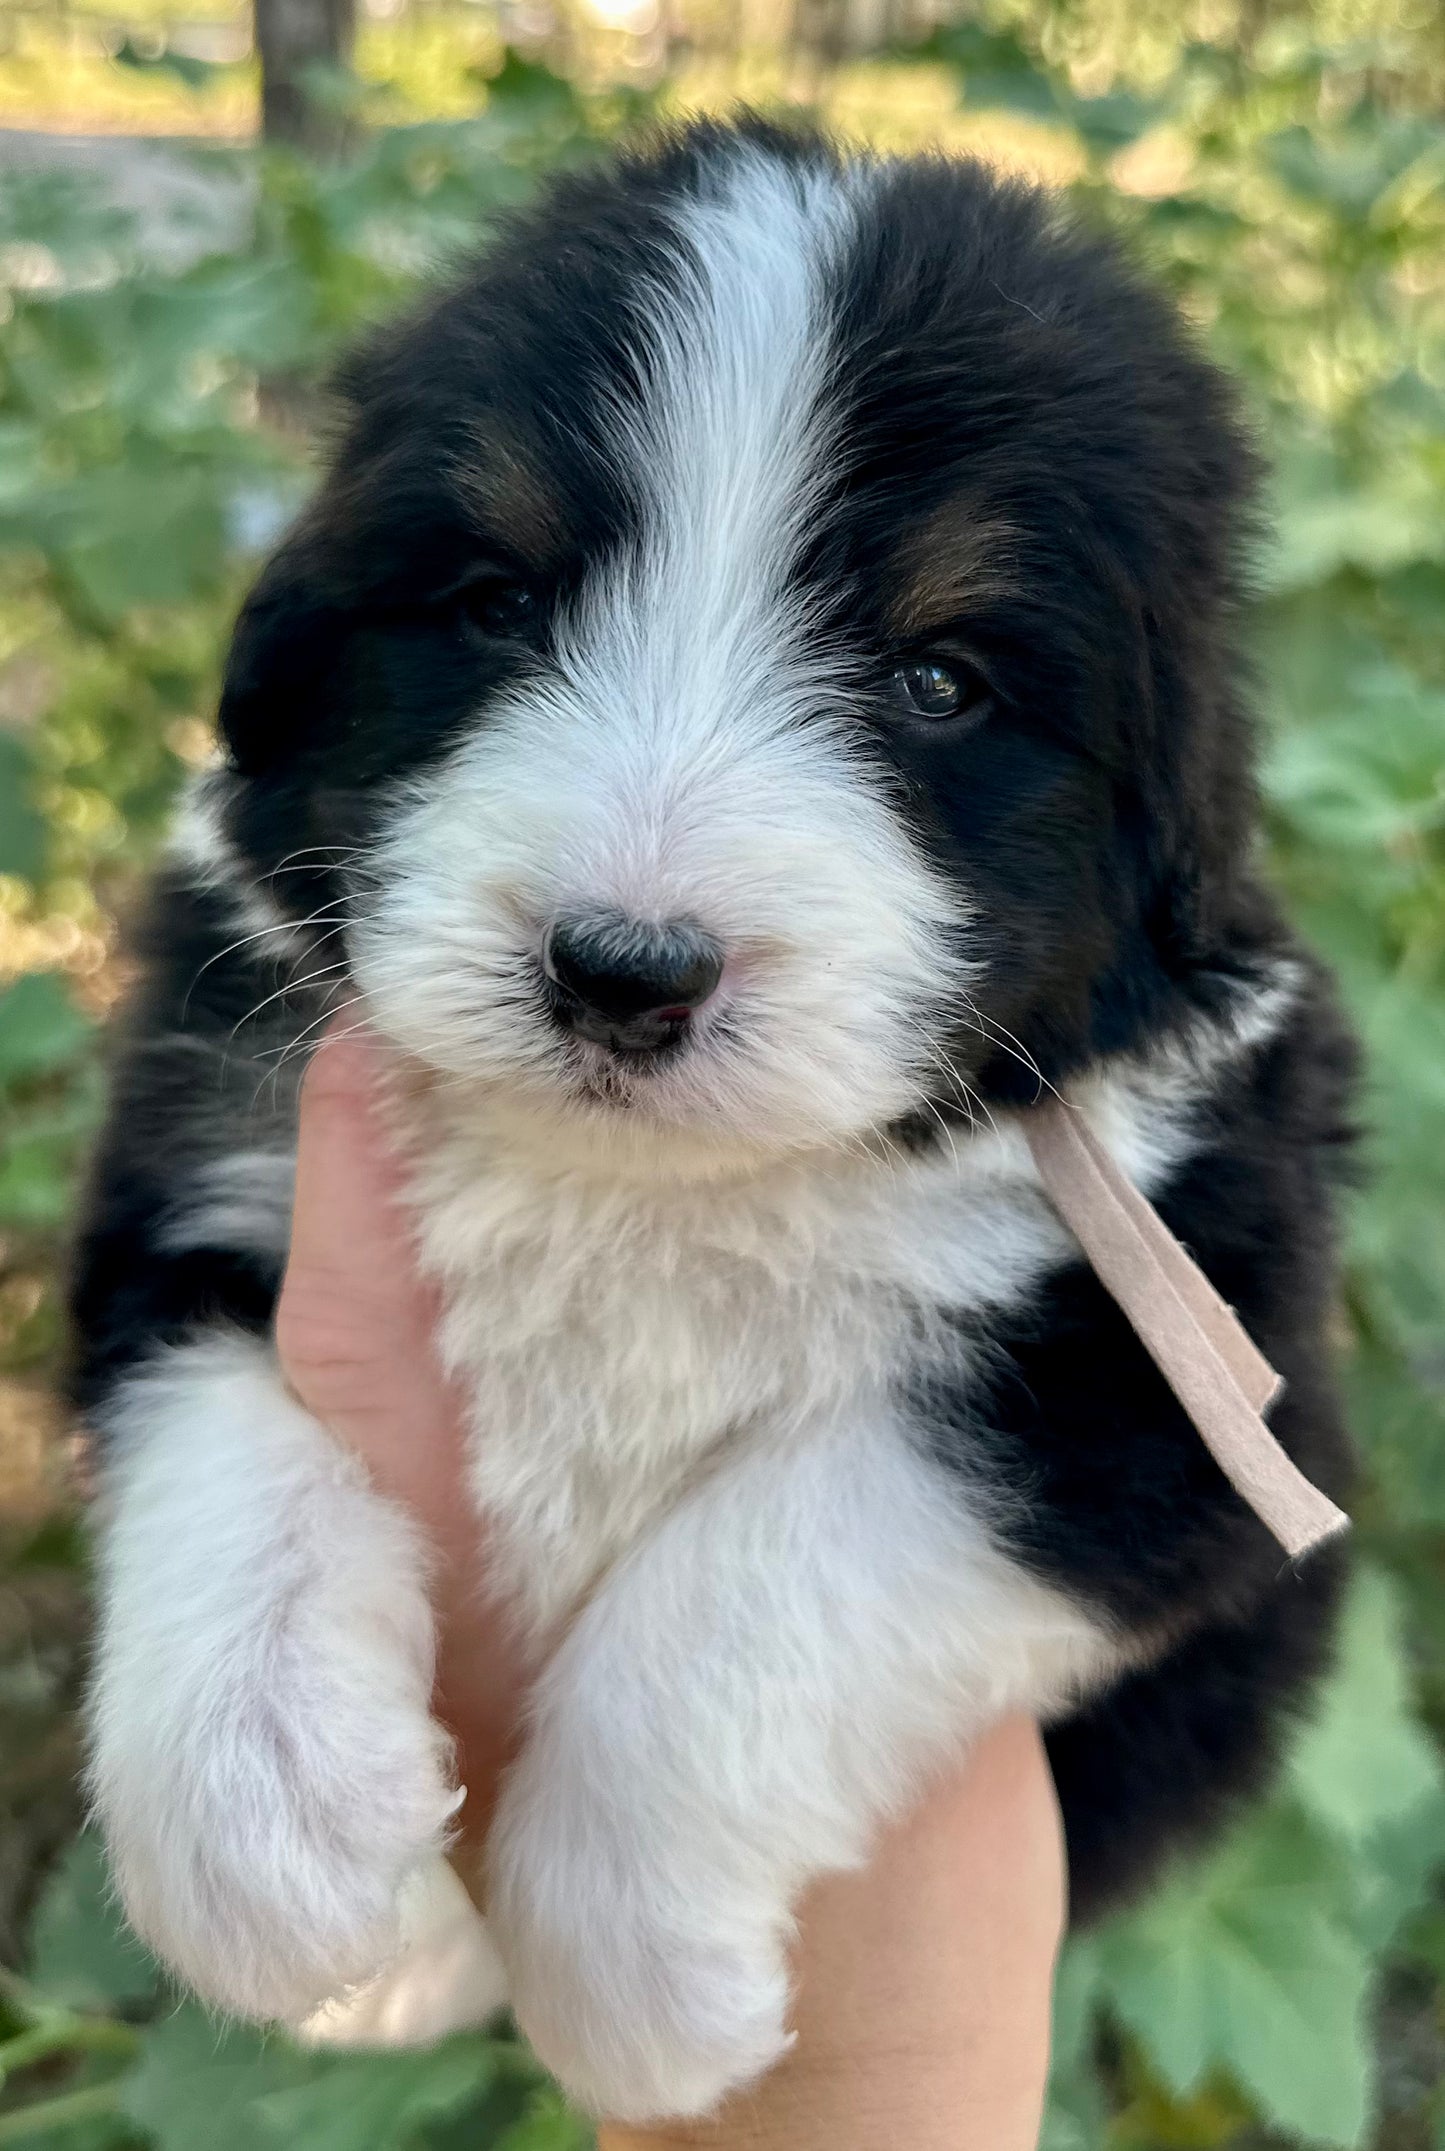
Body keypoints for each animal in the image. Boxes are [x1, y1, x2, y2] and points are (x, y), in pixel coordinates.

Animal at [67, 117, 1358, 2116]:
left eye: (938, 679)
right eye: (497, 604)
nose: (623, 970)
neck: (647, 1194)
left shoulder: (1190, 1371)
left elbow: (770, 1572)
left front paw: (635, 1983)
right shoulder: (204, 1161)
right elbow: (222, 1418)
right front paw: (269, 1828)